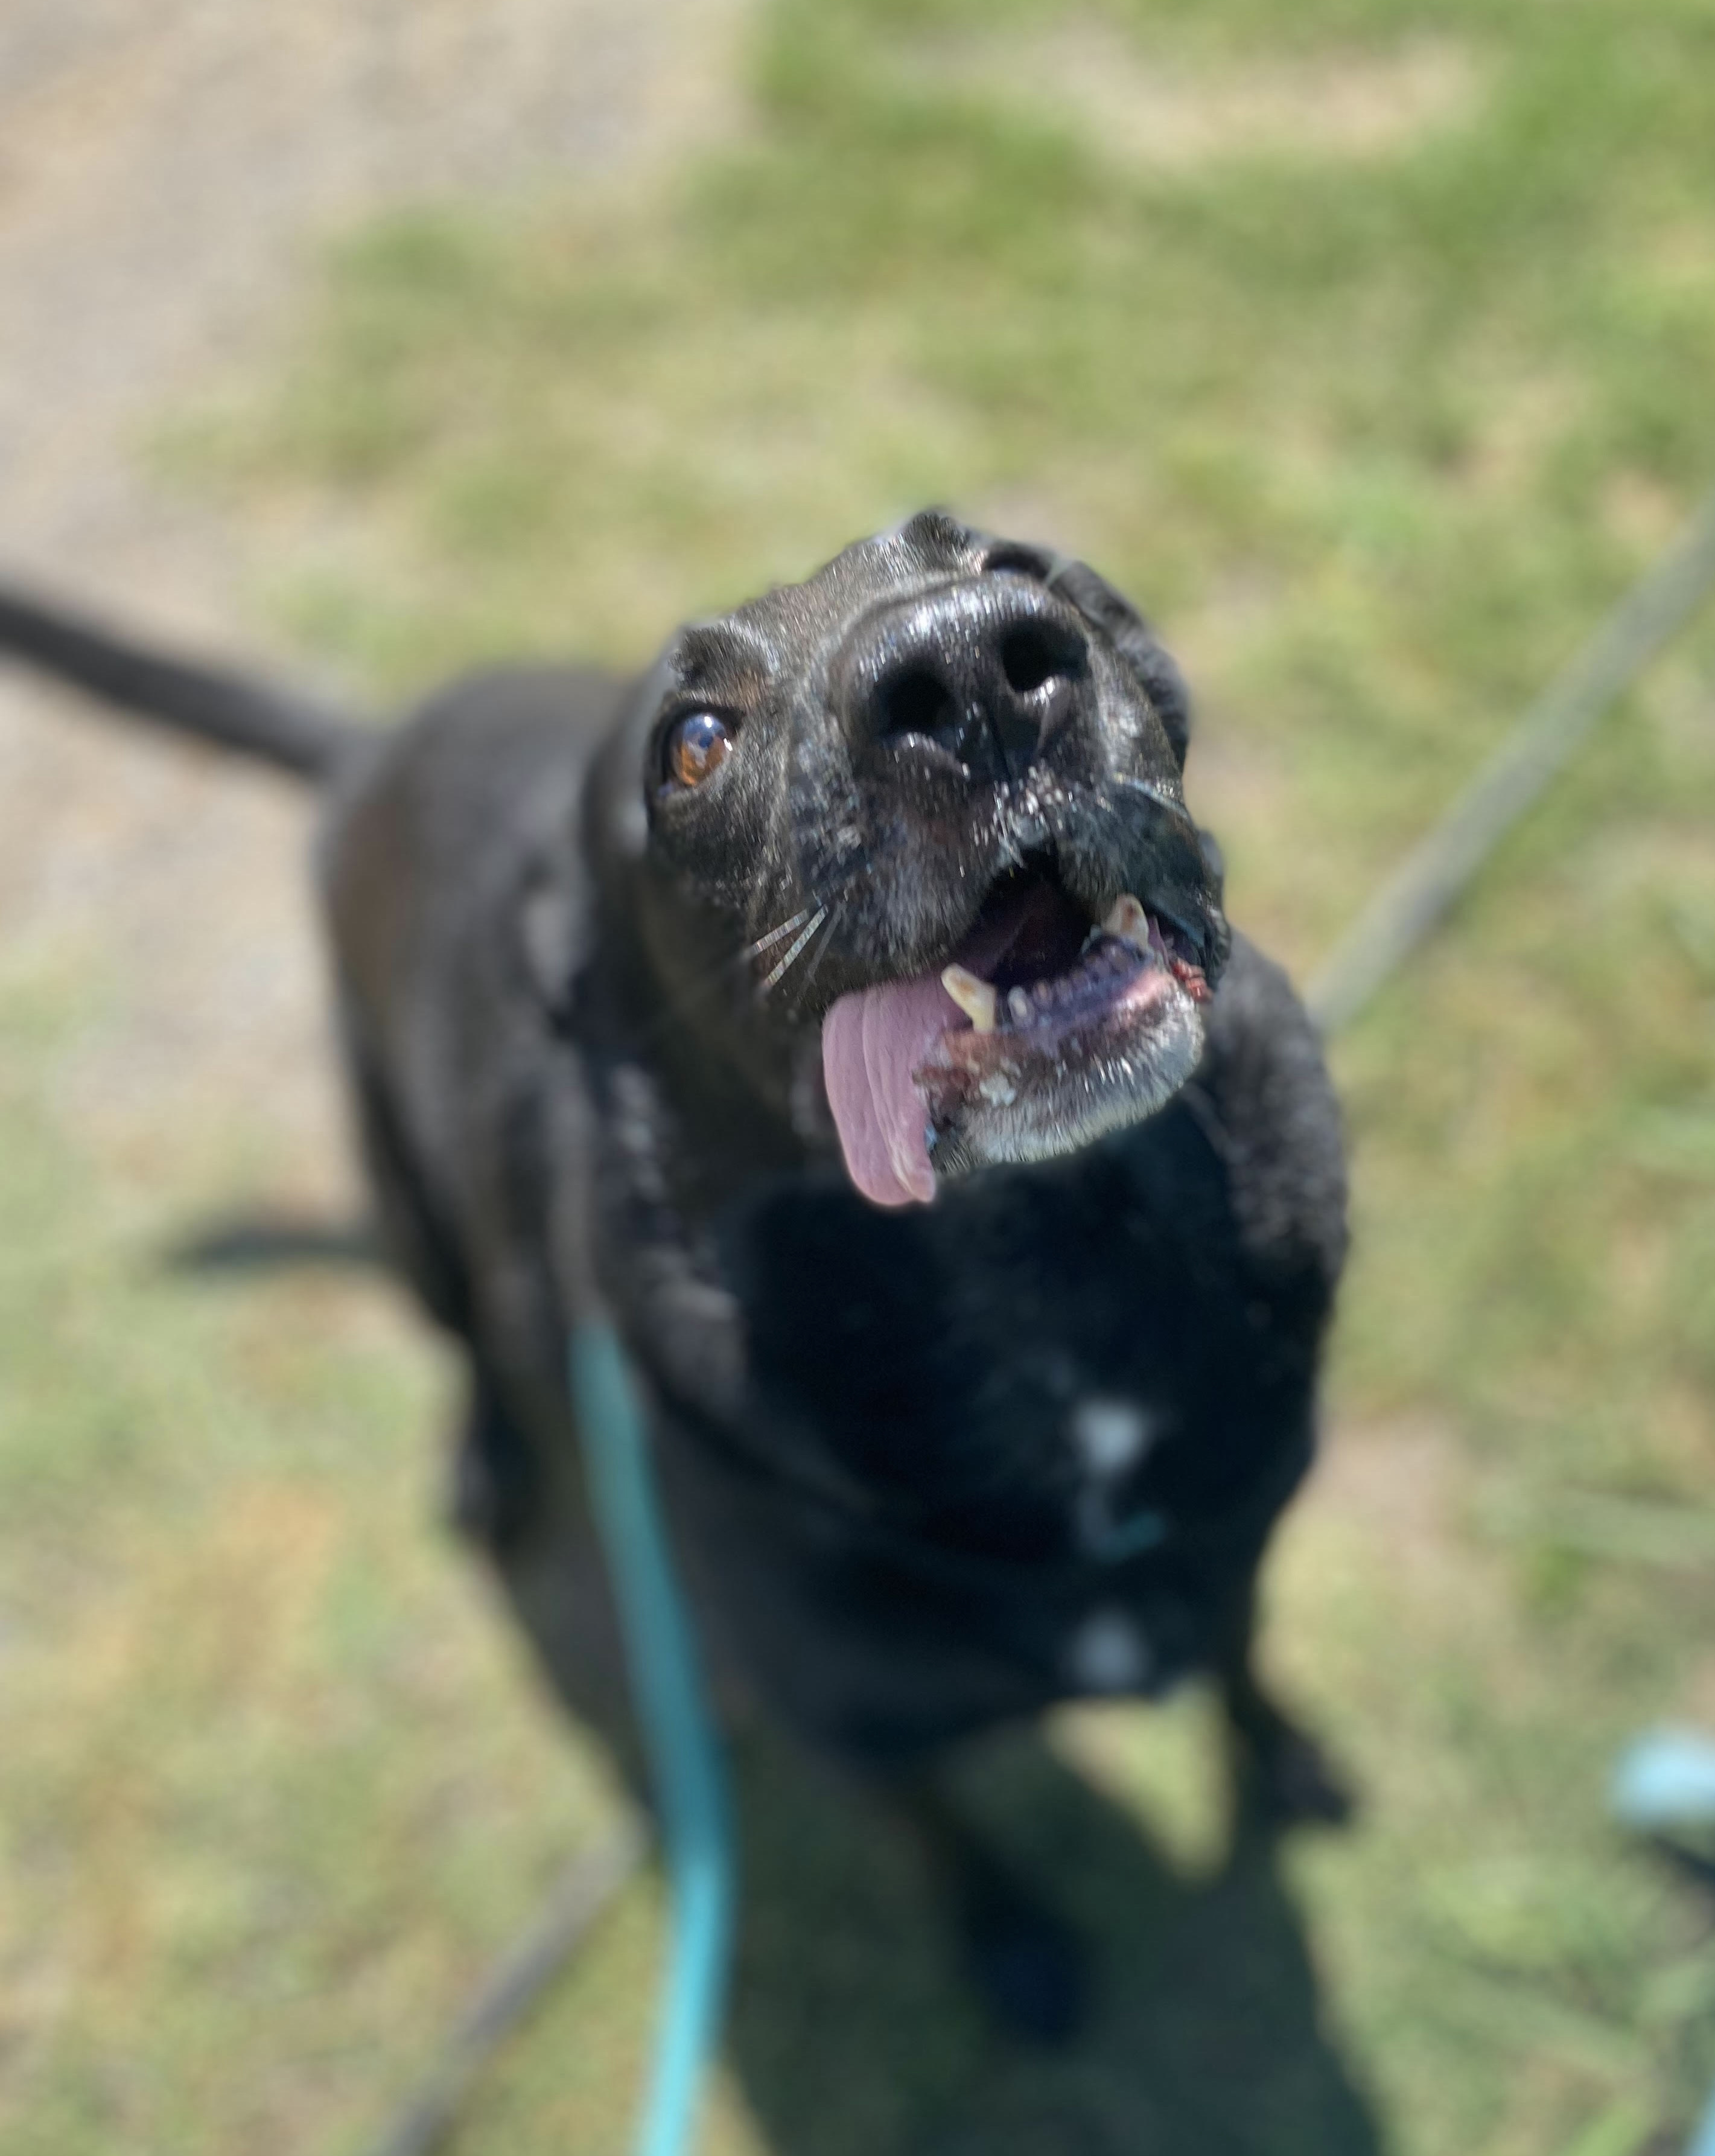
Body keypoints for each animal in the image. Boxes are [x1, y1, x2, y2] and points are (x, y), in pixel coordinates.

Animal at [0, 508, 1344, 2035]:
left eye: (1016, 564)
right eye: (690, 744)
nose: (972, 671)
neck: (1055, 1274)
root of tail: (377, 743)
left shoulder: (1239, 1550)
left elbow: (1241, 1661)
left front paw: (1286, 1762)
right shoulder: (859, 1732)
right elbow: (948, 1841)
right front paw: (1013, 1950)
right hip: (402, 1196)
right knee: (465, 1327)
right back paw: (490, 1454)